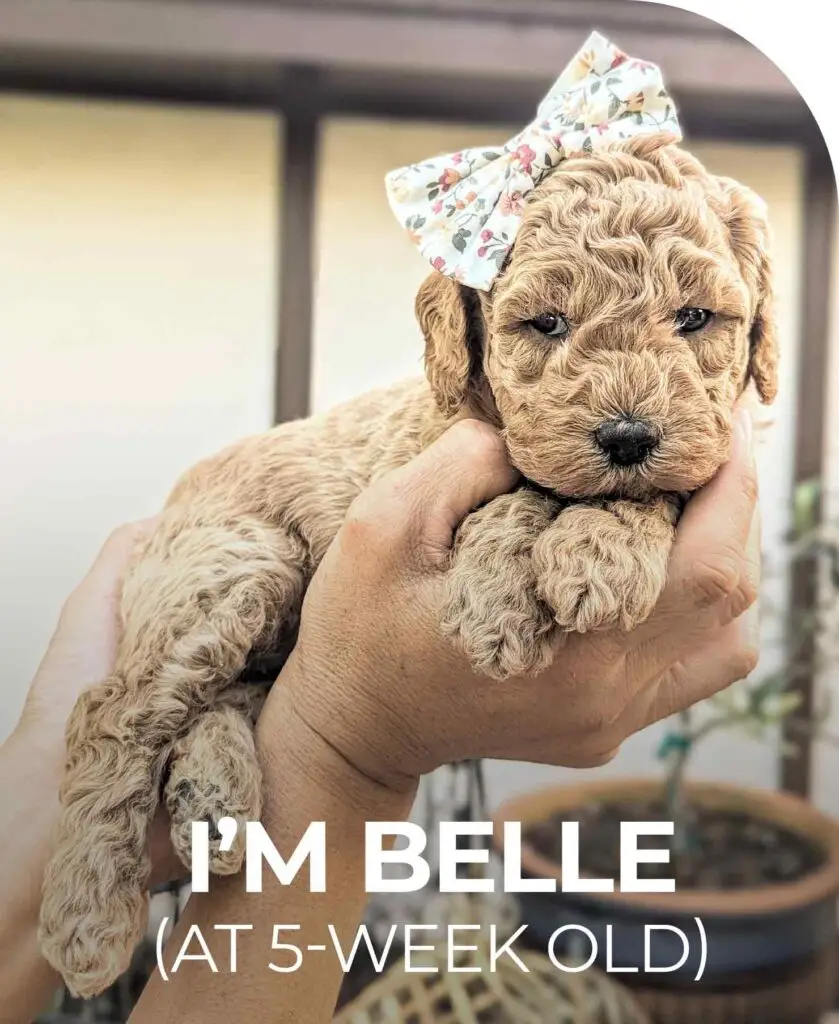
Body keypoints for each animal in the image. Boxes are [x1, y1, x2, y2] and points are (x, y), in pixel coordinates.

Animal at [37, 132, 774, 995]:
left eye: (693, 318)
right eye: (545, 323)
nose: (626, 437)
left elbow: (659, 485)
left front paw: (601, 545)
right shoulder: (432, 451)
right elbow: (518, 489)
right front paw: (502, 600)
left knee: (226, 697)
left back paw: (212, 799)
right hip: (231, 567)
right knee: (114, 711)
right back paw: (89, 915)